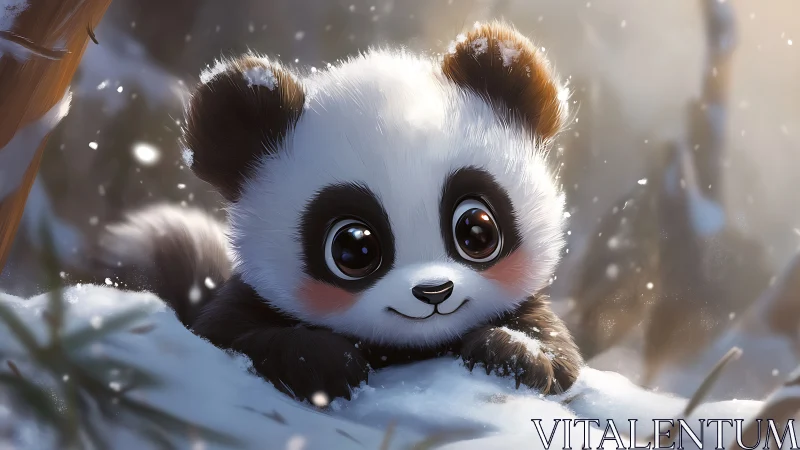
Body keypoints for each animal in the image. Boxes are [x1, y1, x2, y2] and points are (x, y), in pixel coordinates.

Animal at [91, 22, 583, 403]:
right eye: (353, 248)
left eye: (476, 232)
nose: (434, 291)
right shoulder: (240, 307)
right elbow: (227, 337)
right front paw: (323, 362)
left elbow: (556, 350)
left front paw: (513, 354)